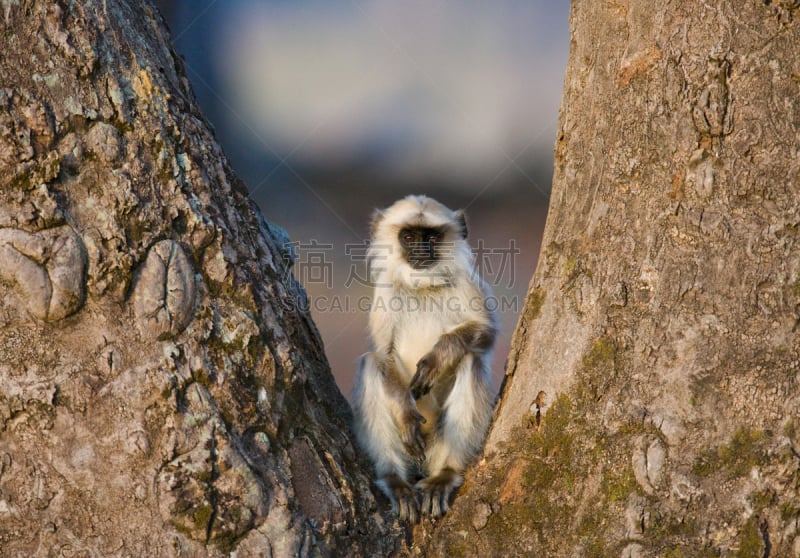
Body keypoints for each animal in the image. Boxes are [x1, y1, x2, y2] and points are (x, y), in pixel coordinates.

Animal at [354, 195, 496, 524]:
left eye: (430, 238)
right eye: (408, 238)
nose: (420, 251)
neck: (422, 286)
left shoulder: (465, 283)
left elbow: (485, 333)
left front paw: (436, 360)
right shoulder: (386, 292)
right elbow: (383, 356)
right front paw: (407, 414)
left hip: (438, 445)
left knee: (471, 361)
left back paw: (445, 475)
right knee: (370, 363)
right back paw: (395, 479)